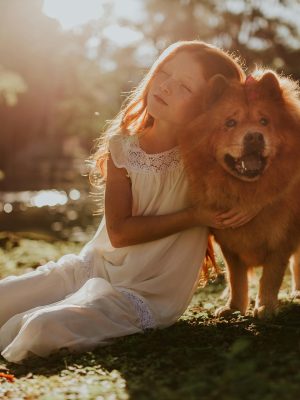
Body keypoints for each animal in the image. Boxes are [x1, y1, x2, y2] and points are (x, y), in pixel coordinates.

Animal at [179, 69, 300, 318]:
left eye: (264, 121)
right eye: (230, 123)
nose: (254, 136)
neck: (246, 191)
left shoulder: (283, 238)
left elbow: (272, 276)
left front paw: (265, 307)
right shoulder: (229, 242)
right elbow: (236, 278)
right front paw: (233, 307)